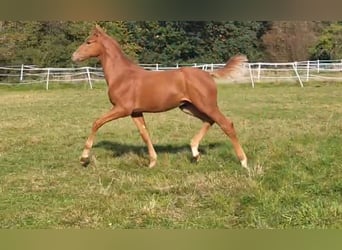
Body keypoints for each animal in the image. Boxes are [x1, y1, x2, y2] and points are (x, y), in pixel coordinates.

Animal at [72, 25, 247, 169]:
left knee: (226, 124)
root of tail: (208, 74)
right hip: (188, 107)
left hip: (207, 105)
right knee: (209, 120)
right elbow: (145, 134)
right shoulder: (135, 112)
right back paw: (195, 152)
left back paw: (243, 161)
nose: (74, 56)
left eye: (88, 42)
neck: (122, 75)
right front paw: (152, 162)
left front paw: (84, 158)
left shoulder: (122, 109)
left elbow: (97, 122)